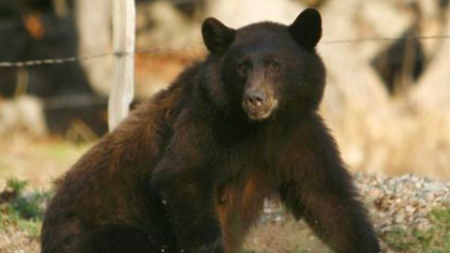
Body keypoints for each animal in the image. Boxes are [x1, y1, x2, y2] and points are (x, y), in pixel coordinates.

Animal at [41, 7, 380, 253]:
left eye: (274, 64)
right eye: (242, 66)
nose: (255, 98)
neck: (261, 128)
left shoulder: (298, 137)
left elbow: (328, 199)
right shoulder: (206, 123)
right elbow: (184, 174)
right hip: (99, 230)